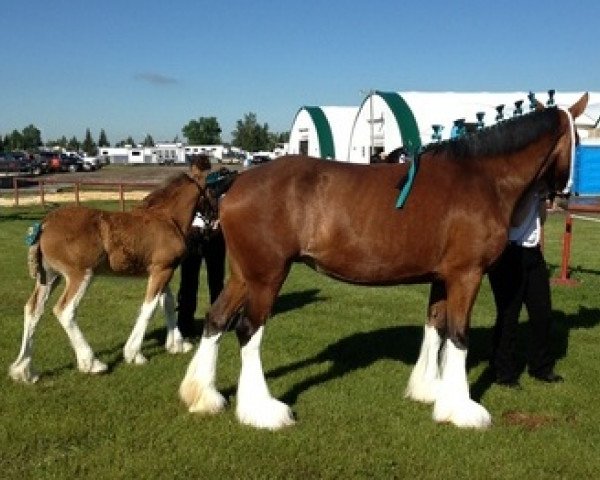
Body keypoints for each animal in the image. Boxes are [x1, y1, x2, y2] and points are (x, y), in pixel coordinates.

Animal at [8, 171, 213, 384]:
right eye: (212, 190)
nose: (214, 220)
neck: (167, 219)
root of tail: (45, 224)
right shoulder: (162, 270)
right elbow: (149, 309)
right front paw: (134, 354)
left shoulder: (163, 270)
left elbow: (168, 304)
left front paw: (177, 345)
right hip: (81, 276)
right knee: (65, 311)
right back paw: (92, 364)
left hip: (49, 277)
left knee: (33, 309)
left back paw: (24, 370)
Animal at [180, 93, 588, 428]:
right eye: (580, 141)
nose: (566, 195)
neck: (483, 178)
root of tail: (234, 182)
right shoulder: (466, 275)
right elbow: (458, 334)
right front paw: (462, 409)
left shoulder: (442, 277)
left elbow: (436, 326)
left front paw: (430, 391)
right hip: (267, 276)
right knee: (248, 330)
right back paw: (262, 411)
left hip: (244, 274)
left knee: (217, 319)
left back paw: (204, 396)